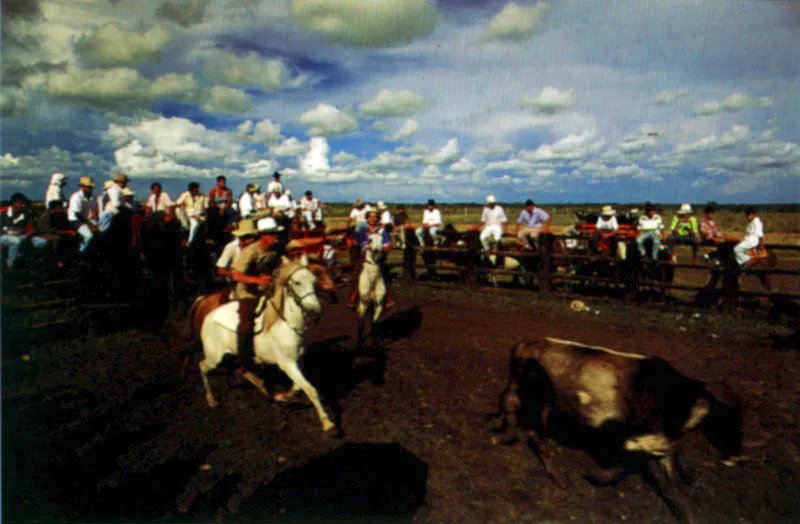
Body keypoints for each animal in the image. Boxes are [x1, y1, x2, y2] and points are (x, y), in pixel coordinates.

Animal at [200, 256, 338, 434]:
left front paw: (283, 396)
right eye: (297, 282)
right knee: (202, 367)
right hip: (214, 357)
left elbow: (297, 387)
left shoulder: (297, 361)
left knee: (241, 370)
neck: (287, 324)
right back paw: (211, 400)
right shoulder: (287, 364)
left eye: (314, 281)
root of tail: (207, 316)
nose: (314, 310)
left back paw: (265, 389)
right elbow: (310, 389)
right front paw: (328, 423)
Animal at [490, 338, 748, 520]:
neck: (675, 398)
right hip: (538, 403)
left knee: (524, 426)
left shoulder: (661, 444)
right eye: (728, 417)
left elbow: (676, 487)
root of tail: (522, 346)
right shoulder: (637, 440)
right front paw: (597, 477)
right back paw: (557, 476)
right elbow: (629, 466)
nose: (738, 456)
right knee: (531, 433)